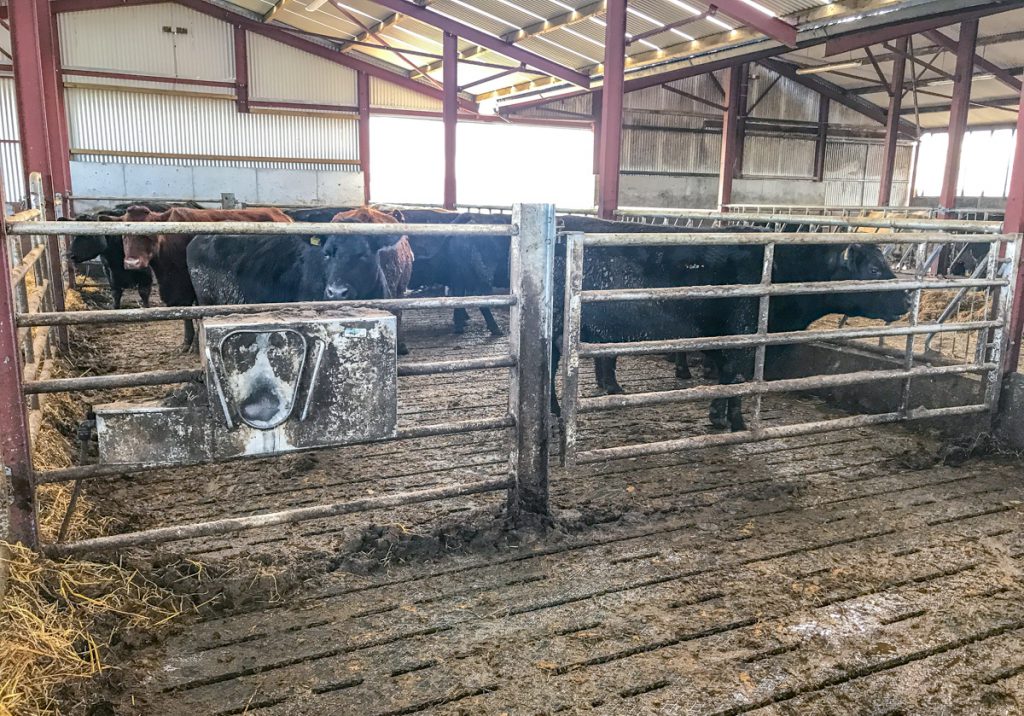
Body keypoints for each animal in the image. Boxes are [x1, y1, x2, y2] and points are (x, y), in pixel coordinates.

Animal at [552, 237, 910, 432]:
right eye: (874, 269)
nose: (907, 299)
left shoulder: (724, 339)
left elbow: (726, 377)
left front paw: (717, 417)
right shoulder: (744, 337)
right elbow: (738, 380)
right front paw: (737, 422)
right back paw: (557, 414)